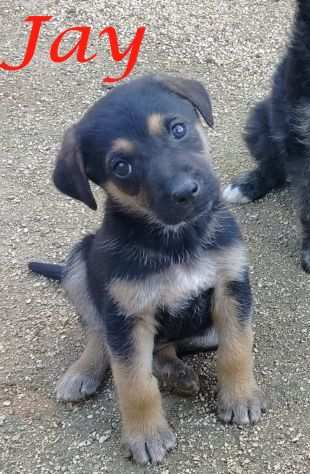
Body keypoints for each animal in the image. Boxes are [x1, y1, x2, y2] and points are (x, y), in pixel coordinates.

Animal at [29, 76, 264, 464]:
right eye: (121, 166)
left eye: (178, 129)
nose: (186, 192)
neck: (176, 240)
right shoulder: (127, 315)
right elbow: (133, 381)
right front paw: (146, 436)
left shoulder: (231, 287)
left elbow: (236, 348)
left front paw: (241, 397)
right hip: (80, 261)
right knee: (100, 334)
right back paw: (82, 372)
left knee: (165, 348)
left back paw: (177, 373)